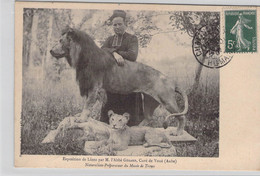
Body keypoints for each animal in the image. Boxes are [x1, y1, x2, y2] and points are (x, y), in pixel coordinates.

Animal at [50, 26, 189, 135]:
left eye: (61, 41)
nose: (50, 50)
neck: (82, 57)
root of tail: (172, 81)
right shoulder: (88, 86)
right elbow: (86, 103)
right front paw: (79, 116)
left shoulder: (95, 87)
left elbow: (88, 105)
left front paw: (81, 119)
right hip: (149, 100)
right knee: (149, 117)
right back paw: (137, 128)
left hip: (167, 100)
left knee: (181, 116)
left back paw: (178, 132)